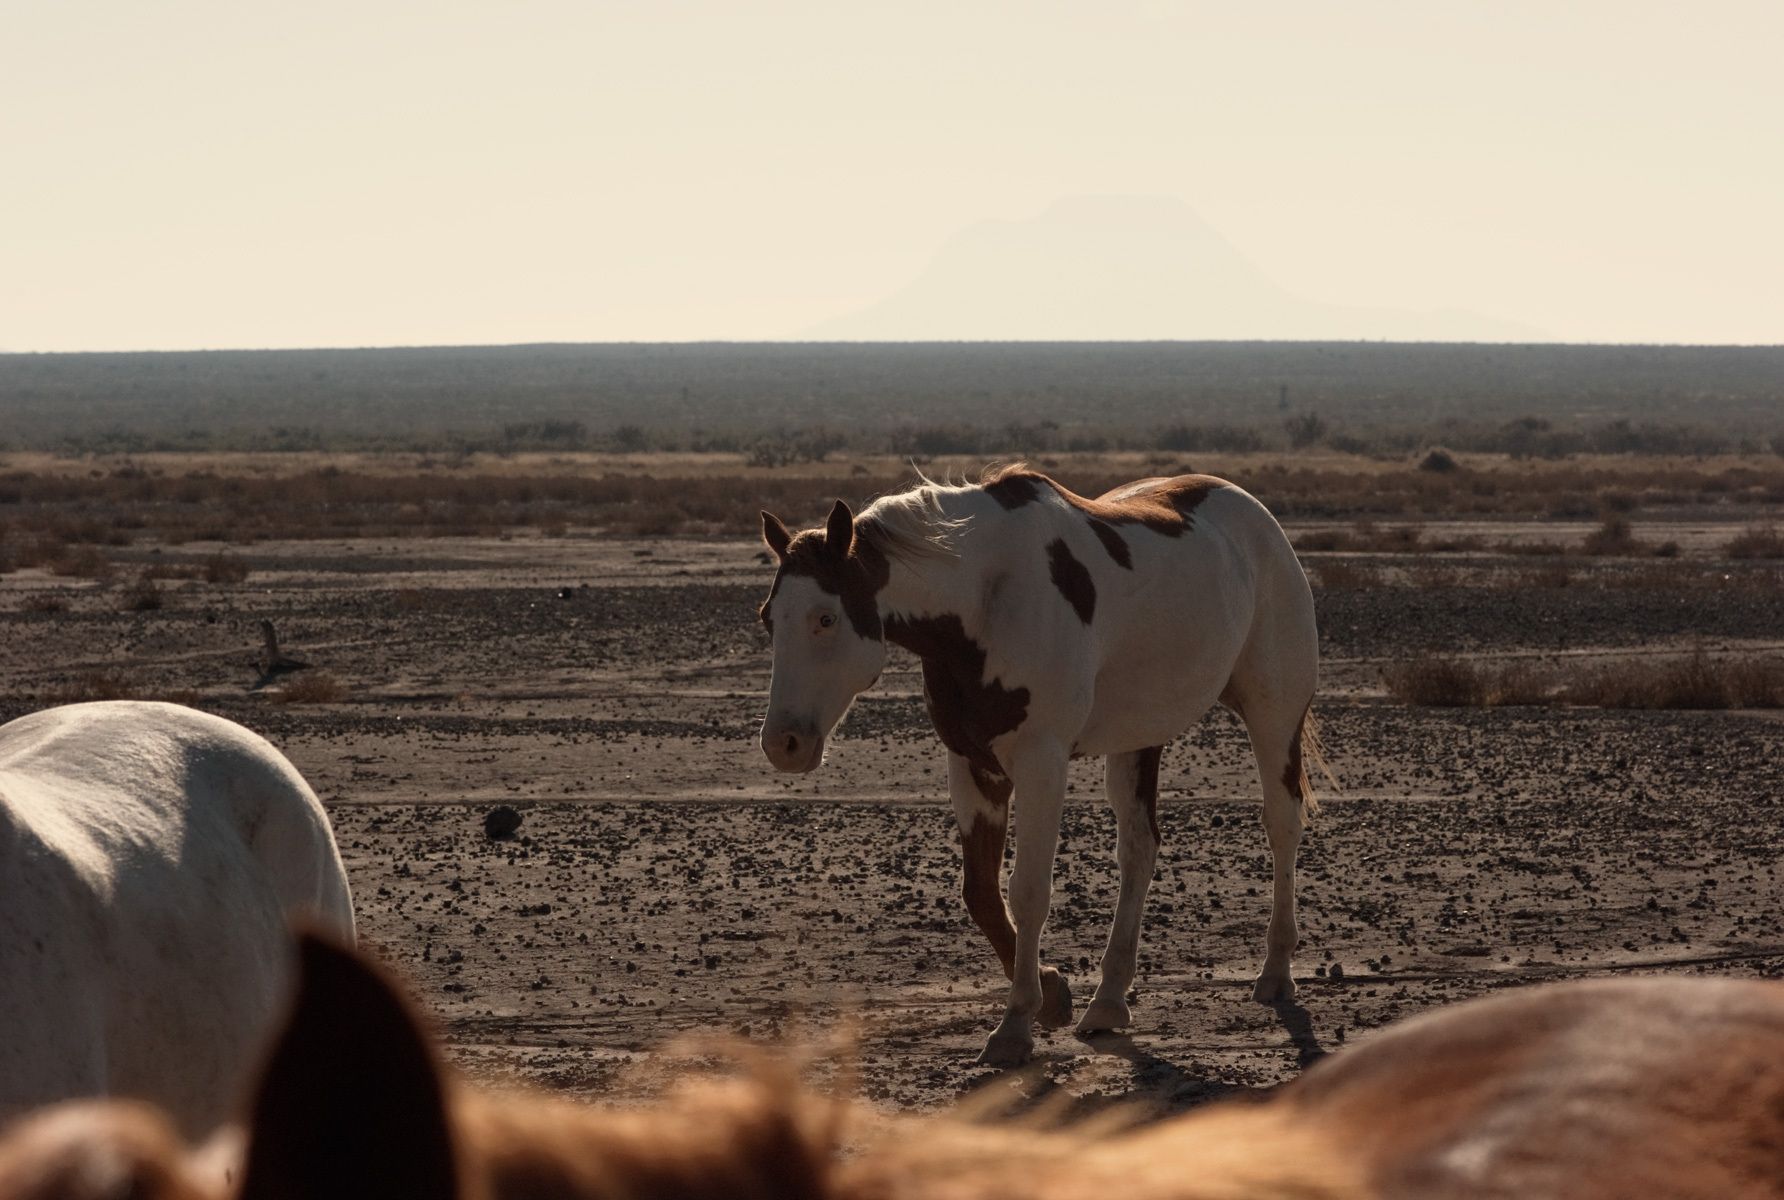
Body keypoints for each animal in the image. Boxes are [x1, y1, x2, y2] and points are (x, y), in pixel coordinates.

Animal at [757, 466, 1322, 1064]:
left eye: (825, 617)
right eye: (769, 618)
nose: (783, 743)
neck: (983, 601)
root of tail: (1253, 515)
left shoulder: (1040, 765)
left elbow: (1028, 893)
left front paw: (1015, 1024)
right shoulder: (973, 765)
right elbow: (981, 893)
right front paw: (1053, 993)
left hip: (1273, 715)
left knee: (1282, 825)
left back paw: (1276, 971)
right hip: (1138, 739)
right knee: (1139, 849)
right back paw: (1108, 1001)